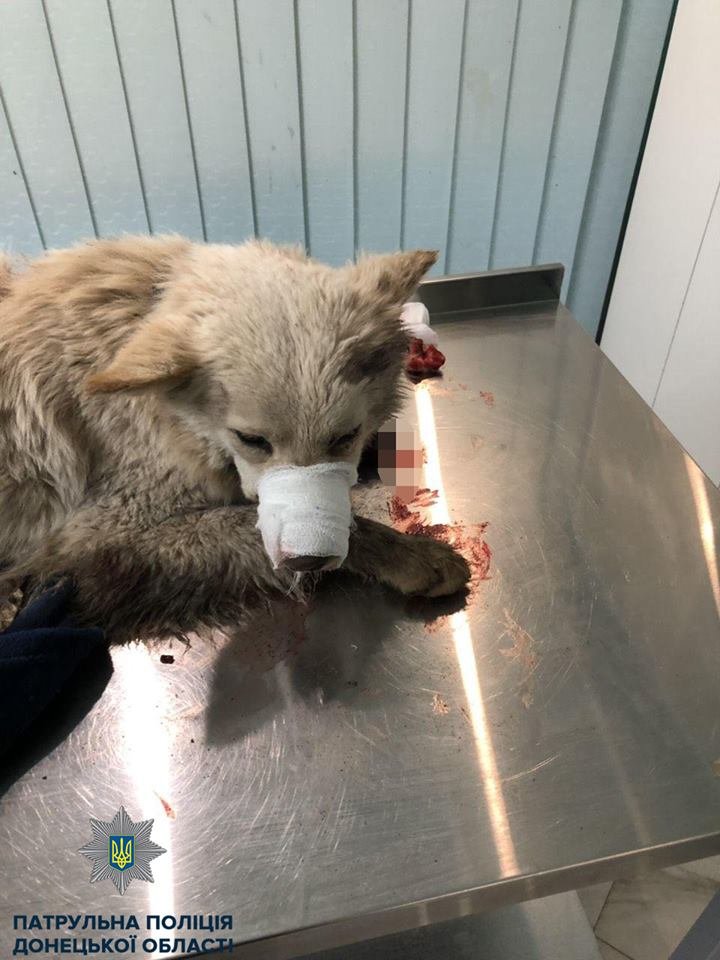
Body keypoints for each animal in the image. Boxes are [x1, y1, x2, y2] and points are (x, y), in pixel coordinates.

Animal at [0, 236, 470, 641]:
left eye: (346, 435)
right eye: (251, 439)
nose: (307, 560)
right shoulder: (101, 535)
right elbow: (254, 521)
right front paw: (412, 555)